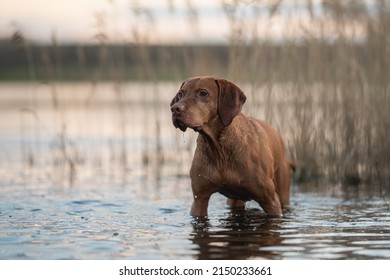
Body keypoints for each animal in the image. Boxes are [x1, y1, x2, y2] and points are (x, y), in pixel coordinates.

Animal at [171, 76, 292, 217]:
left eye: (203, 93)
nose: (174, 109)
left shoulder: (270, 201)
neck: (219, 149)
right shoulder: (199, 199)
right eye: (180, 94)